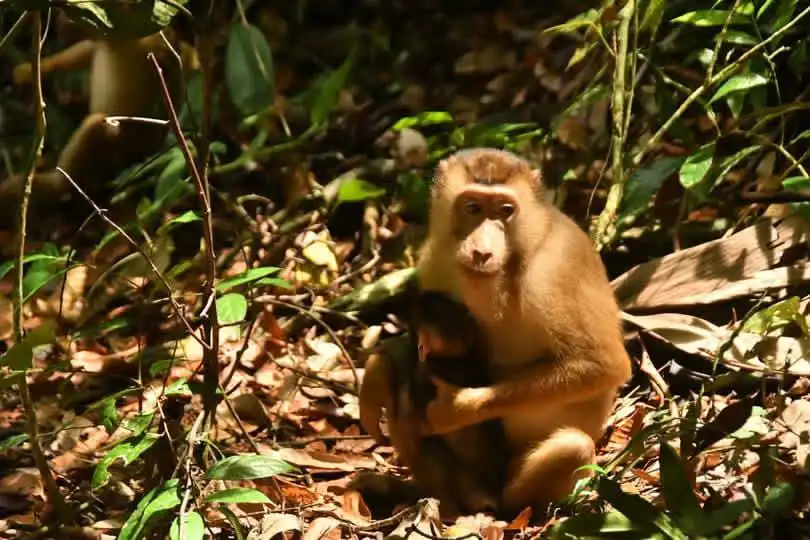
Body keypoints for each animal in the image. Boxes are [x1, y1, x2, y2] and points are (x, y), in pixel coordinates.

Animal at [388, 147, 633, 517]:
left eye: (505, 210)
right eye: (472, 207)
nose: (481, 251)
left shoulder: (554, 272)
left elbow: (604, 365)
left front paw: (457, 409)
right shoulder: (434, 256)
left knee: (572, 446)